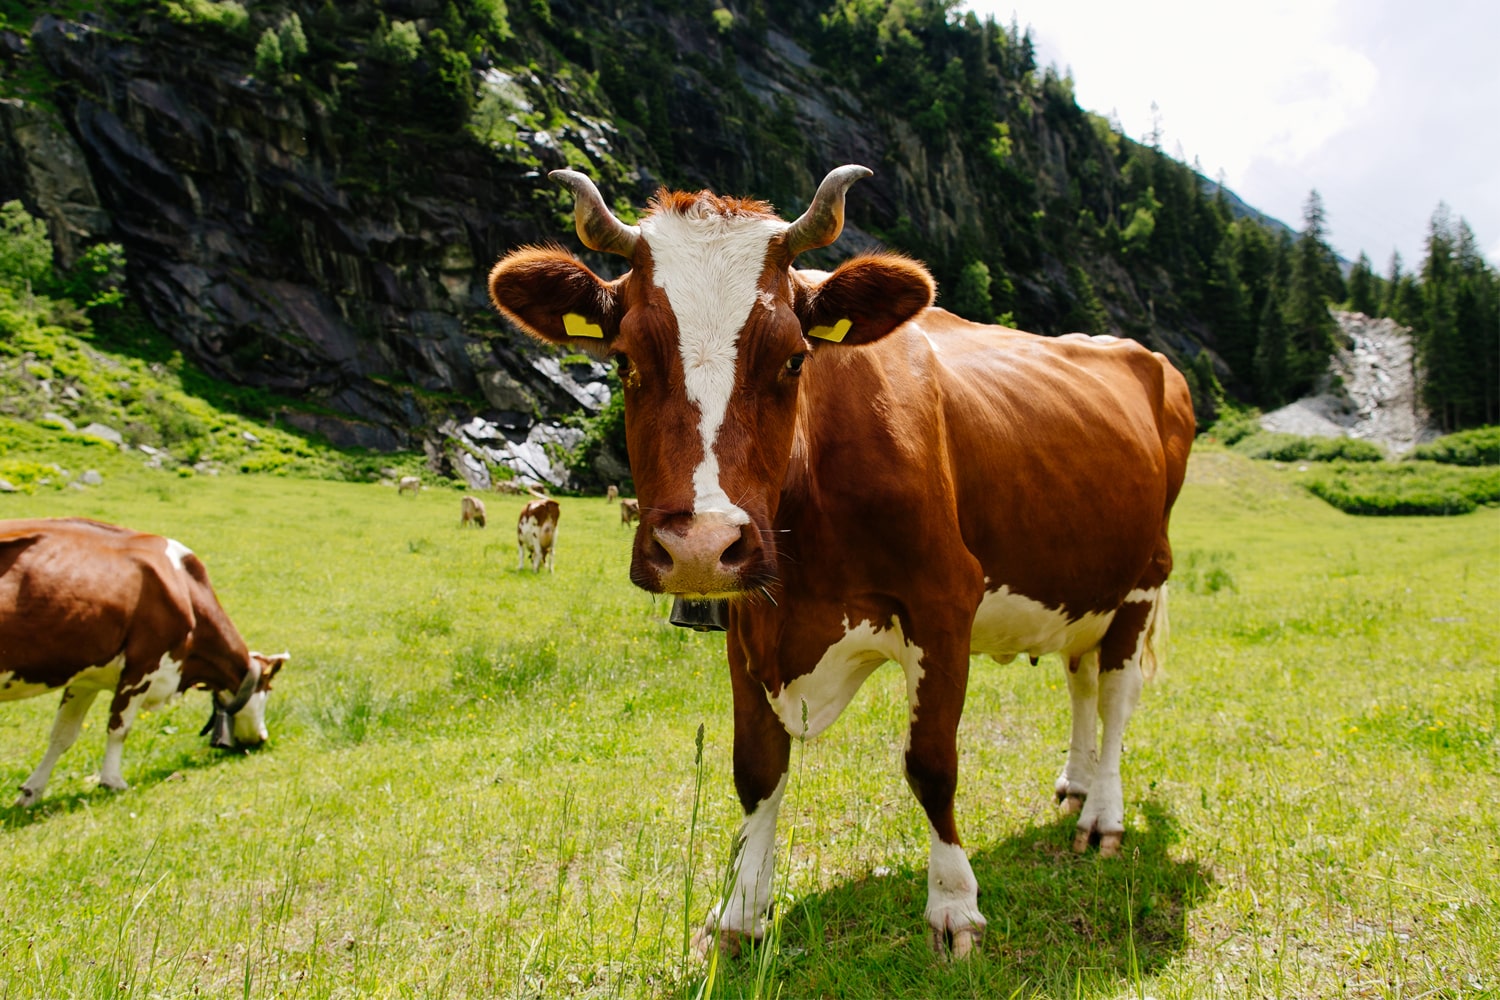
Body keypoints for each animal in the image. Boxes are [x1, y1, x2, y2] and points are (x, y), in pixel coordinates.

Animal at [0, 515, 289, 803]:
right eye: (269, 688)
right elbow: (119, 728)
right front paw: (112, 781)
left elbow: (63, 733)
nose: (262, 738)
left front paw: (31, 792)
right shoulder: (144, 666)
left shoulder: (86, 677)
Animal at [492, 167, 1194, 959]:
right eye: (625, 360)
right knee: (1081, 681)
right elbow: (755, 768)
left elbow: (932, 764)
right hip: (1081, 586)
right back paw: (1074, 783)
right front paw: (740, 911)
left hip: (1144, 579)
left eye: (794, 357)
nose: (700, 545)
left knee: (1115, 696)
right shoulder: (748, 619)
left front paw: (954, 906)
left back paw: (1102, 814)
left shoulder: (944, 602)